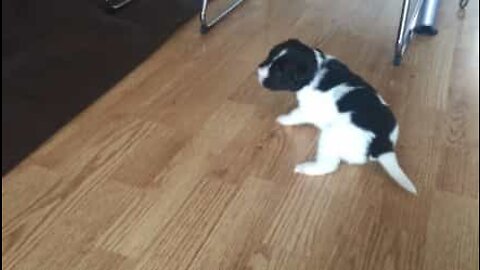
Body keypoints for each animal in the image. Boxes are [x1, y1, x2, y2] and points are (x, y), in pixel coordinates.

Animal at [256, 38, 418, 194]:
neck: (317, 67)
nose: (258, 70)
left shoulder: (308, 110)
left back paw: (306, 168)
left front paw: (283, 119)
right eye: (269, 56)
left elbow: (295, 115)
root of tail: (383, 143)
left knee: (329, 165)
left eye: (279, 72)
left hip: (330, 137)